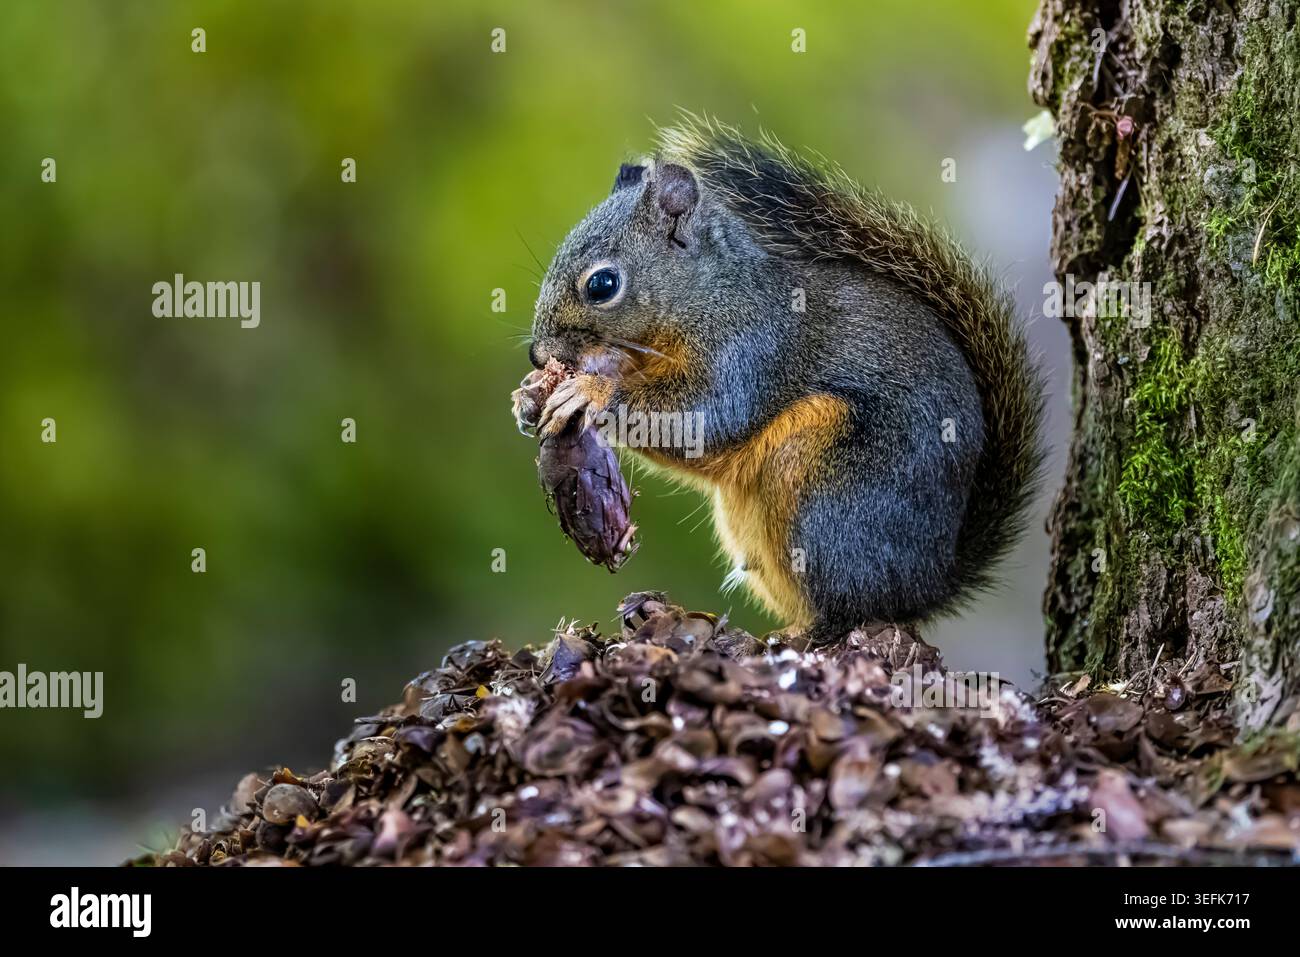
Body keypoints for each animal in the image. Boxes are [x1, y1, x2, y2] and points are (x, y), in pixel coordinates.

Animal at [527, 116, 1045, 645]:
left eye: (602, 284)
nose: (538, 354)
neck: (706, 296)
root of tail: (930, 582)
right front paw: (528, 397)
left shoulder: (751, 347)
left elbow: (703, 416)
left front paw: (591, 391)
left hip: (830, 494)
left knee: (853, 608)